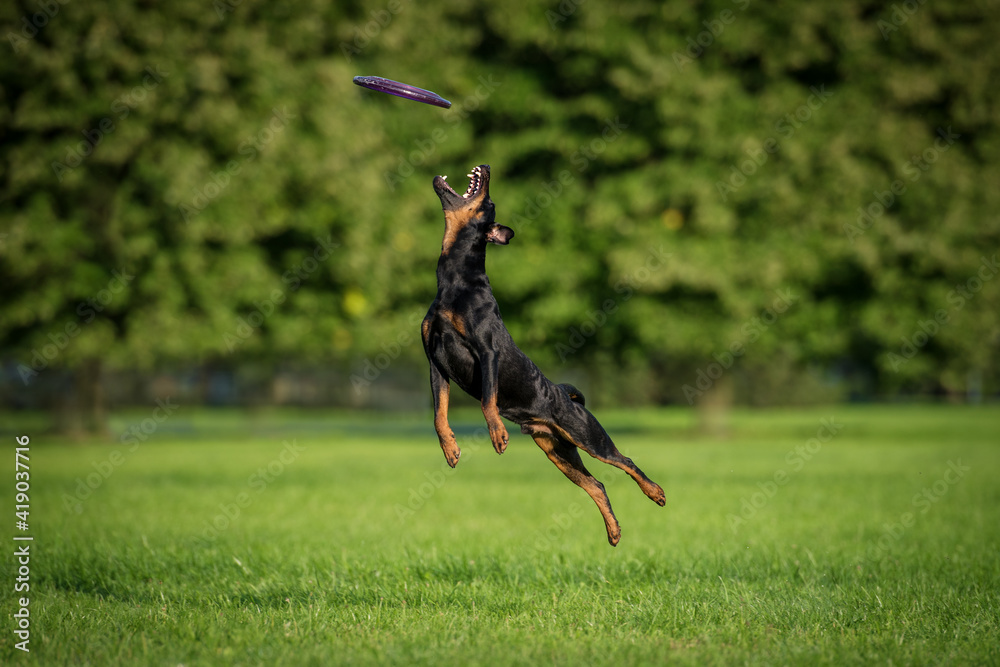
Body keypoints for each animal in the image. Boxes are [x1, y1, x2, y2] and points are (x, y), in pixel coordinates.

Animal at [422, 164, 664, 544]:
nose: (486, 167)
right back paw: (613, 531)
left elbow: (487, 400)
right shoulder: (436, 363)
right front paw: (450, 449)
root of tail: (566, 396)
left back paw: (656, 493)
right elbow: (438, 416)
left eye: (489, 202)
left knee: (625, 461)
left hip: (588, 437)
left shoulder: (487, 352)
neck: (455, 282)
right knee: (596, 484)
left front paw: (497, 434)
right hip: (557, 450)